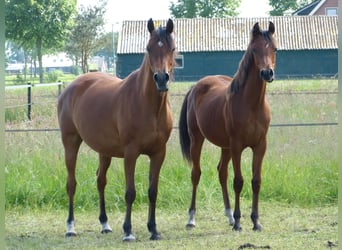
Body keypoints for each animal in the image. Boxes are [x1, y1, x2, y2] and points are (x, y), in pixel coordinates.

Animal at [57, 18, 175, 241]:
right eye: (148, 48)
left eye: (172, 48)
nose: (161, 79)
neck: (148, 106)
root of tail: (71, 87)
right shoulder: (131, 153)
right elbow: (130, 192)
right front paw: (128, 231)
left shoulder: (159, 153)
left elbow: (153, 191)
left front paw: (153, 229)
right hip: (71, 143)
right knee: (71, 184)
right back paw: (70, 227)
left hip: (104, 151)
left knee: (100, 181)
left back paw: (105, 224)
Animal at [179, 21, 278, 230]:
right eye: (254, 50)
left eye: (275, 49)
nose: (267, 73)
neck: (251, 104)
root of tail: (196, 87)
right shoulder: (237, 146)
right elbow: (238, 181)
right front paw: (239, 223)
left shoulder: (260, 146)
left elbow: (256, 181)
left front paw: (255, 221)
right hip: (198, 140)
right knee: (196, 174)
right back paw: (192, 218)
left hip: (225, 147)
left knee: (221, 172)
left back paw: (229, 214)